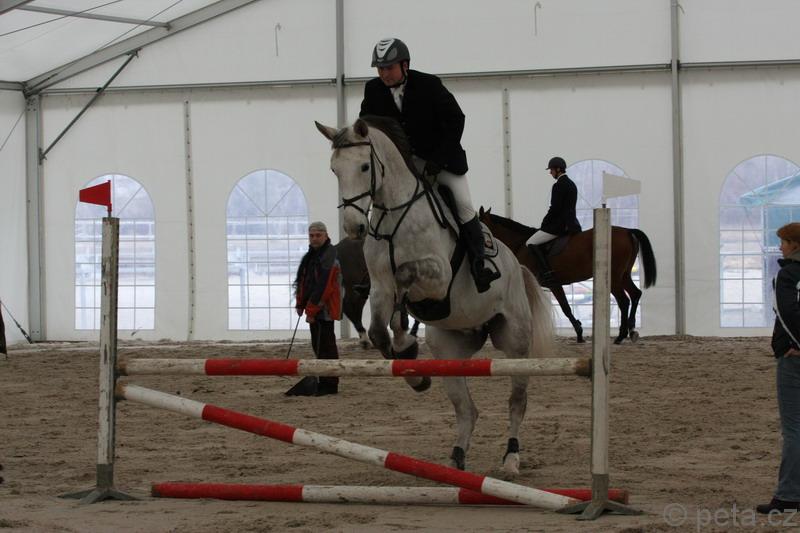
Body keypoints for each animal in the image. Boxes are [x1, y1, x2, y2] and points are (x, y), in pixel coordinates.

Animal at [316, 116, 554, 474]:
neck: (393, 217)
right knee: (467, 409)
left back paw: (511, 458)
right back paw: (456, 459)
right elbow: (379, 330)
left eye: (363, 166)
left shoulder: (438, 277)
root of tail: (517, 265)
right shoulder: (380, 287)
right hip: (450, 346)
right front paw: (410, 361)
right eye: (333, 170)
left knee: (517, 401)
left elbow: (406, 275)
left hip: (514, 341)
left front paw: (405, 337)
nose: (354, 228)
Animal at [478, 207, 657, 344]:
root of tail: (627, 231)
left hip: (613, 277)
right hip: (624, 275)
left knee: (624, 300)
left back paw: (620, 336)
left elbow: (564, 307)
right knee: (635, 294)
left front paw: (579, 332)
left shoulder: (550, 284)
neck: (520, 244)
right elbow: (562, 307)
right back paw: (631, 331)